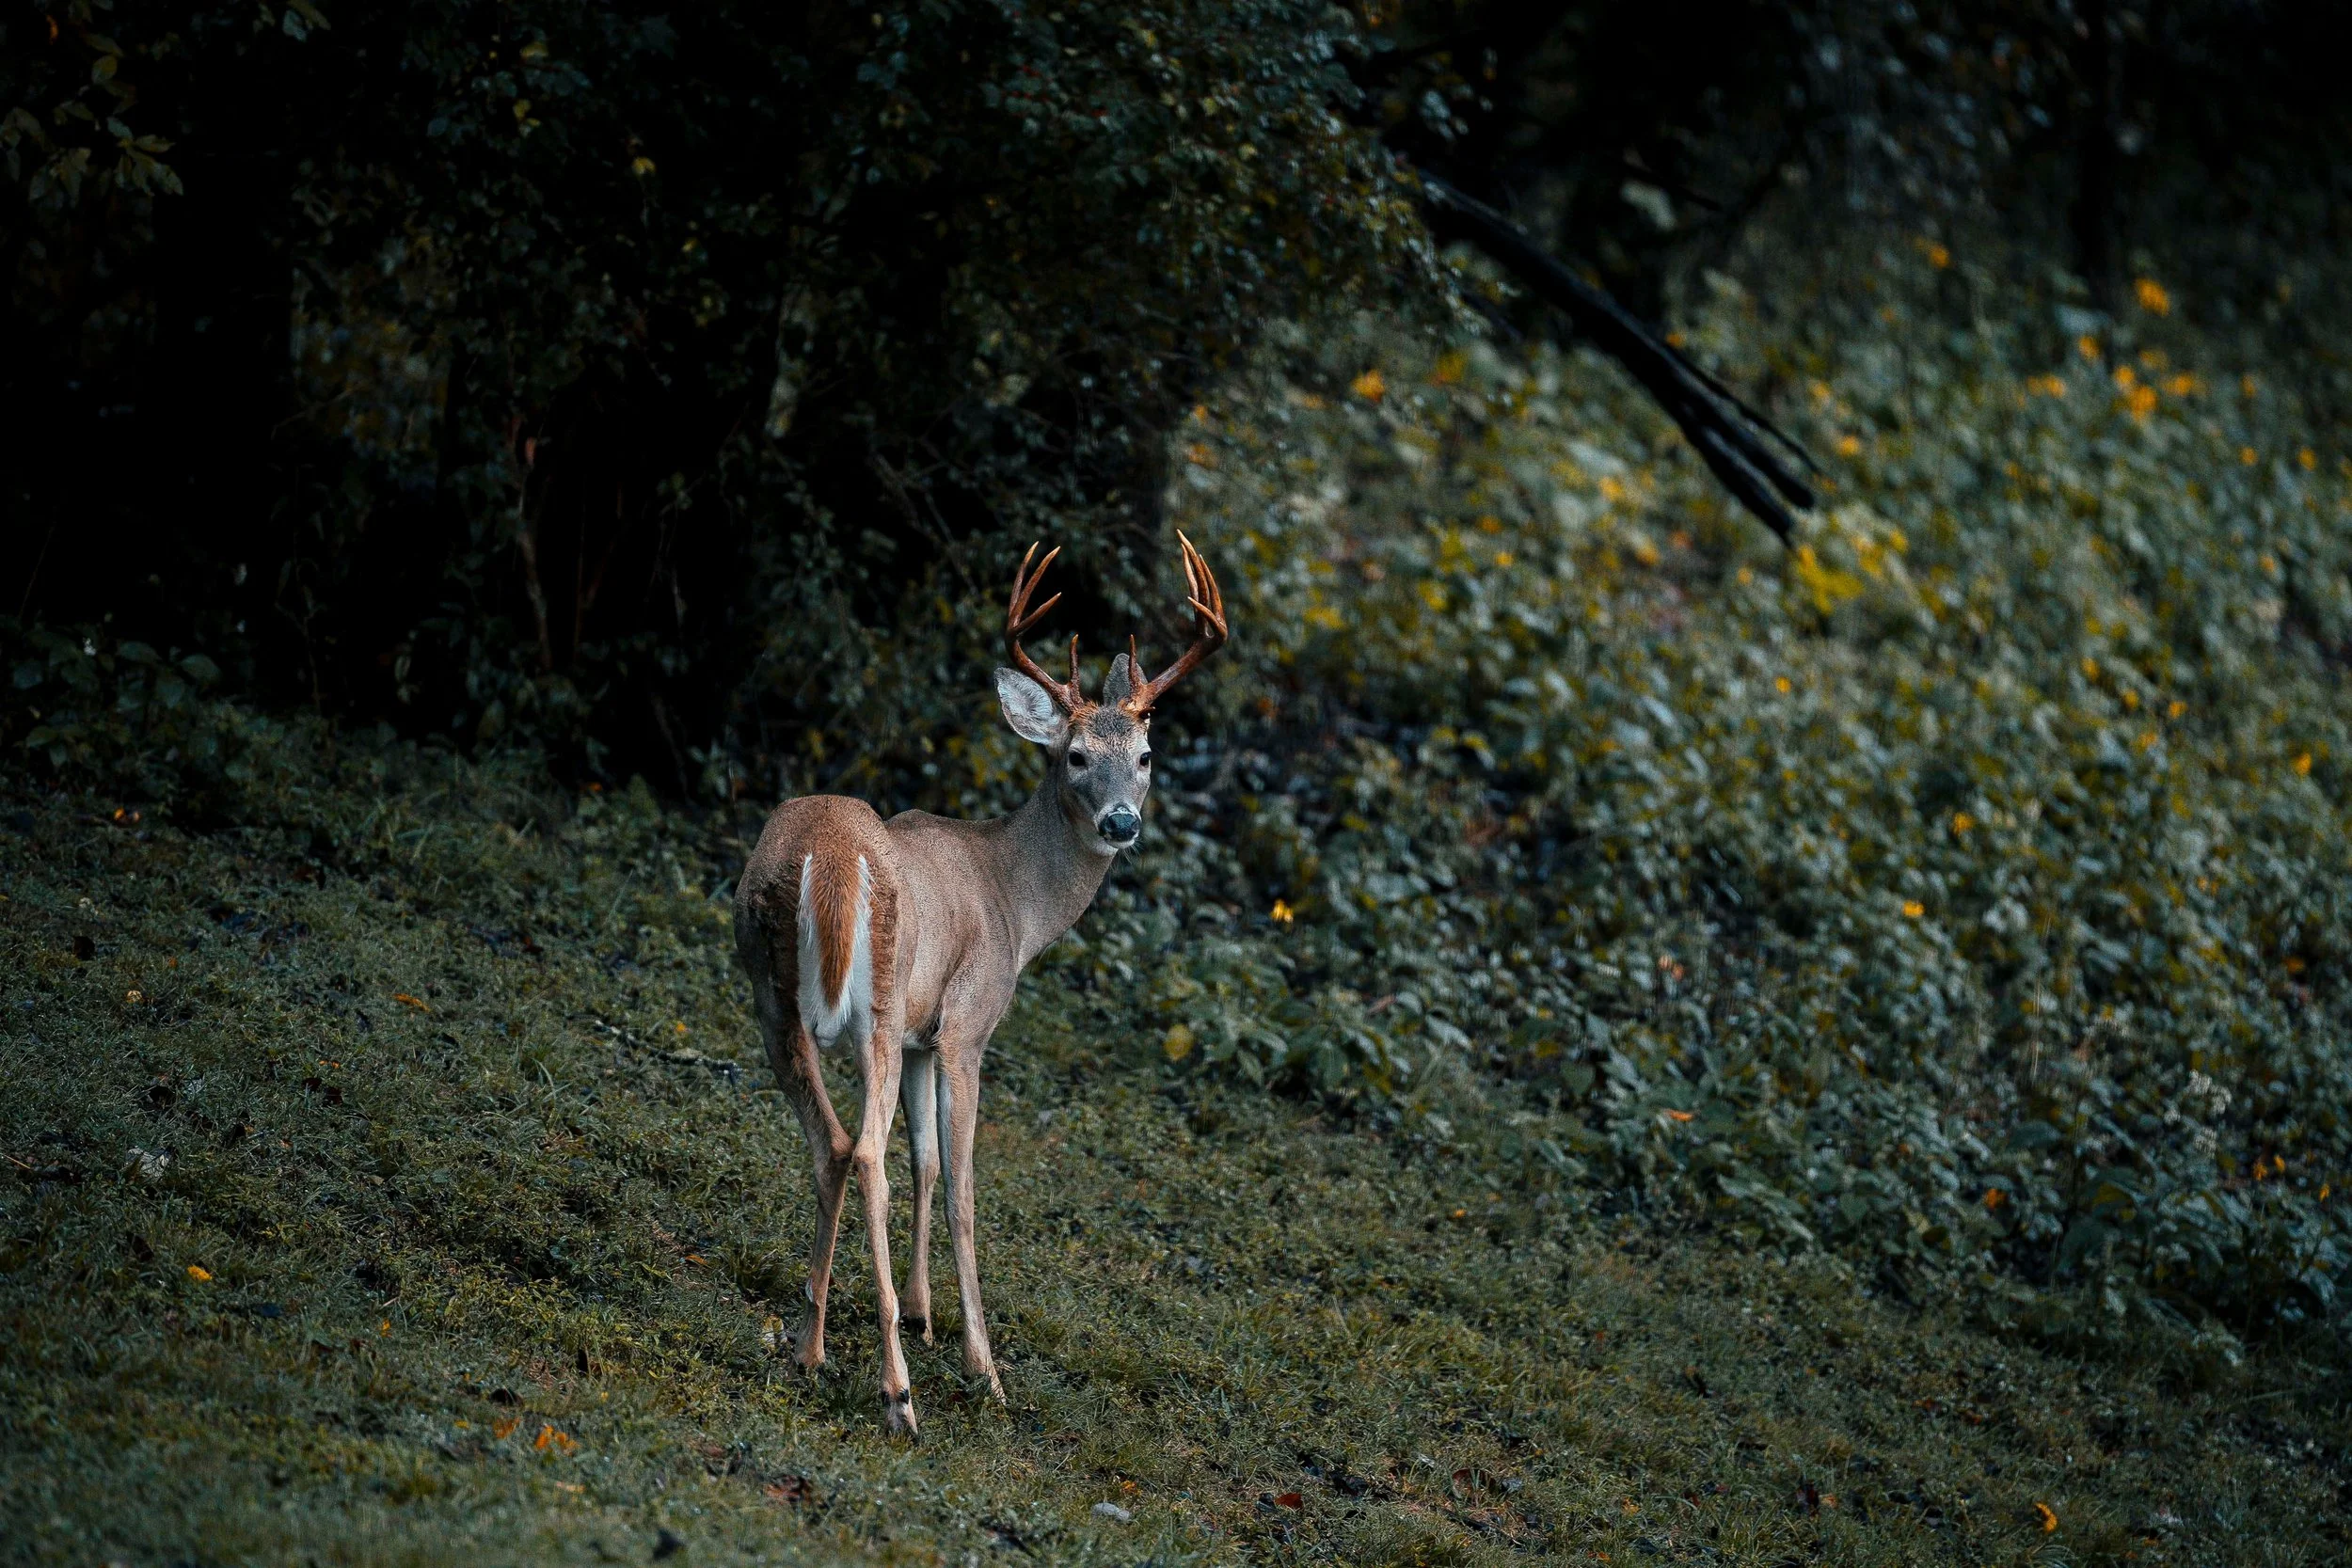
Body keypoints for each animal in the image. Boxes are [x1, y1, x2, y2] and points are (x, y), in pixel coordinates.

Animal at [732, 533, 1228, 1435]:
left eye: (1145, 756)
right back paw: (897, 1392)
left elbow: (926, 1161)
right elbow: (961, 1186)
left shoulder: (925, 1037)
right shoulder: (965, 1027)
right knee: (862, 1151)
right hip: (877, 1001)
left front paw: (924, 1314)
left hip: (770, 994)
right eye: (1075, 755)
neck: (1016, 902)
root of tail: (826, 861)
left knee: (830, 1144)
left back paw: (810, 1347)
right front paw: (979, 1362)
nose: (1121, 822)